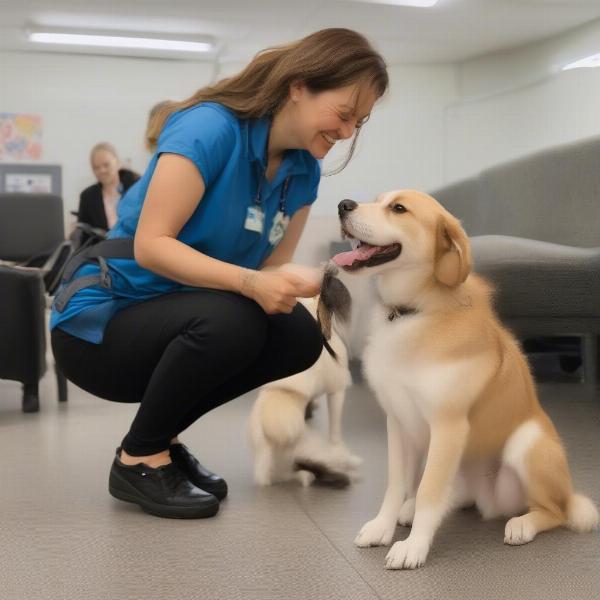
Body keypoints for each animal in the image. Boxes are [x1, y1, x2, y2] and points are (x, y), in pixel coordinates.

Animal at [330, 190, 596, 568]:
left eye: (398, 208)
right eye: (378, 199)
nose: (343, 205)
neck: (414, 310)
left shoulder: (448, 426)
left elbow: (428, 491)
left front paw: (414, 547)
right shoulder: (397, 422)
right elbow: (396, 484)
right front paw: (383, 527)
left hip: (527, 444)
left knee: (554, 511)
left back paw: (524, 524)